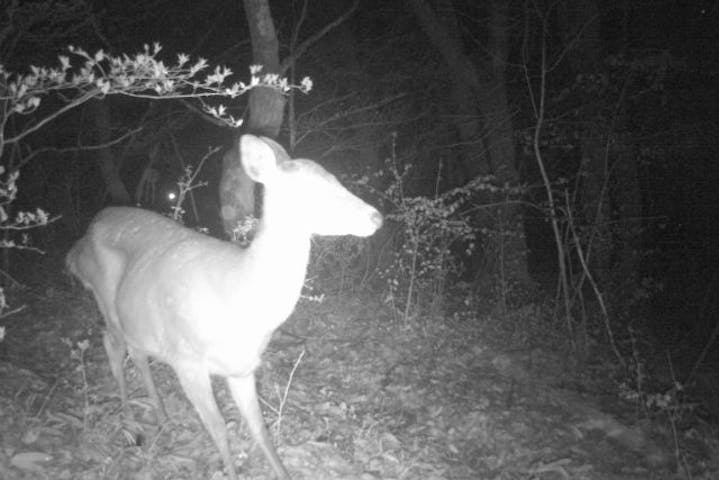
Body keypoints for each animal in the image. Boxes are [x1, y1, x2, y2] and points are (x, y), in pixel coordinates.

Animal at [64, 134, 386, 480]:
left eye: (335, 179)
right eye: (312, 190)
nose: (376, 217)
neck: (237, 293)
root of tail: (77, 245)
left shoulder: (242, 367)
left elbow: (259, 428)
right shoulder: (187, 361)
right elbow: (218, 428)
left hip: (137, 318)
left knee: (136, 353)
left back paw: (162, 417)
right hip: (105, 298)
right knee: (111, 346)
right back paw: (129, 423)